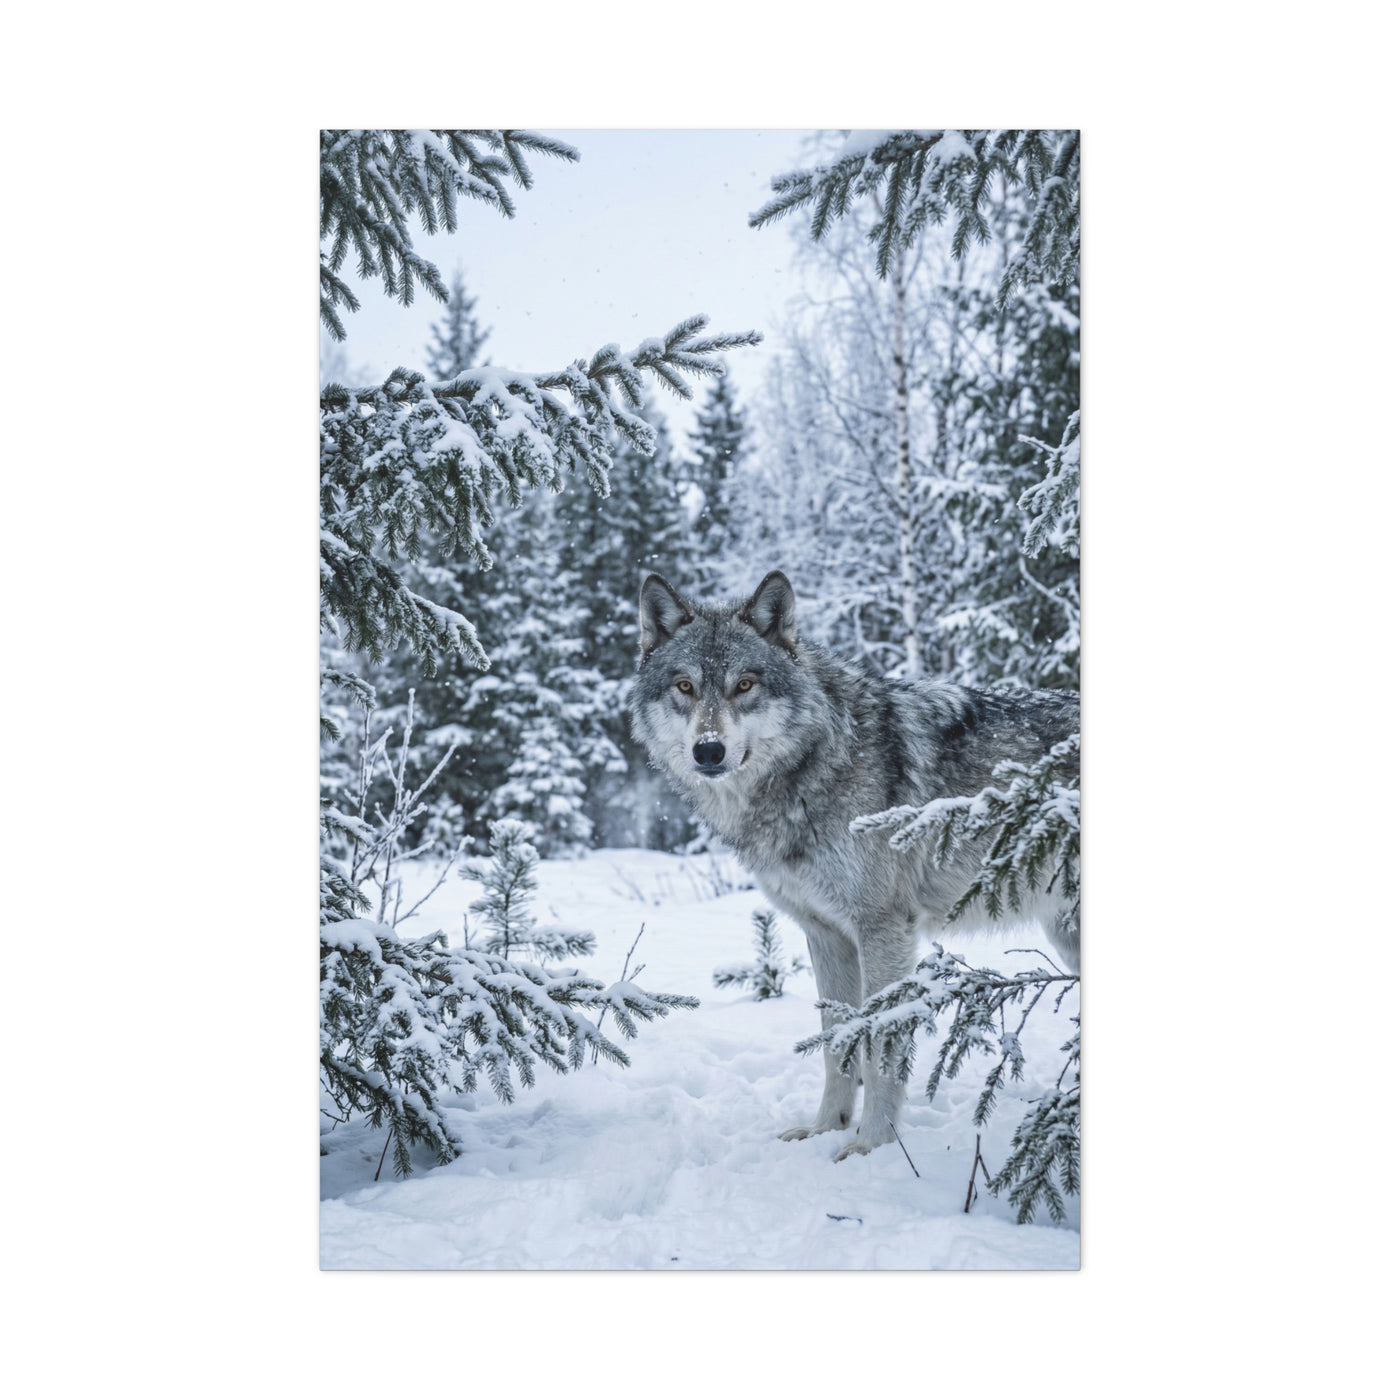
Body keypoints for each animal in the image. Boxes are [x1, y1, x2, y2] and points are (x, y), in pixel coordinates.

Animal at [629, 570, 1079, 1160]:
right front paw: (825, 1129)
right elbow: (835, 1042)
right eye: (684, 687)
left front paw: (871, 1147)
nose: (708, 750)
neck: (817, 765)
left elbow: (881, 1043)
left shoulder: (882, 929)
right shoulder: (825, 933)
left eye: (744, 684)